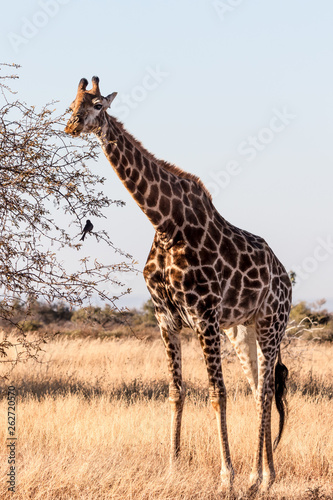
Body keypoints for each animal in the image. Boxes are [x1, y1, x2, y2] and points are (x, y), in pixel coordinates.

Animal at [65, 76, 290, 494]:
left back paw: (260, 476)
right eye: (71, 104)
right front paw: (172, 467)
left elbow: (217, 394)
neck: (166, 224)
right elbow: (176, 392)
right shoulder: (165, 318)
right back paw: (263, 474)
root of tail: (284, 277)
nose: (72, 126)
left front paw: (226, 477)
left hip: (271, 323)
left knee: (267, 391)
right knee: (258, 390)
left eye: (99, 106)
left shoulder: (204, 316)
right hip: (243, 329)